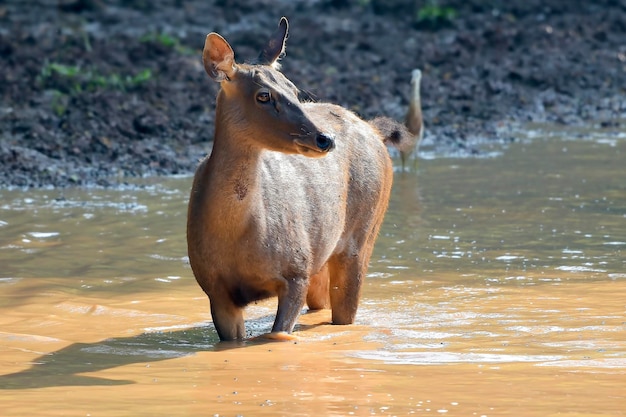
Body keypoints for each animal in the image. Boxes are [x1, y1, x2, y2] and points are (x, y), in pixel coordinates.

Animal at [188, 17, 412, 342]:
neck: (237, 235)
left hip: (361, 236)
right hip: (321, 254)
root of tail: (373, 129)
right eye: (263, 95)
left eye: (294, 90)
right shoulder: (215, 289)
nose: (324, 138)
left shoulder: (296, 269)